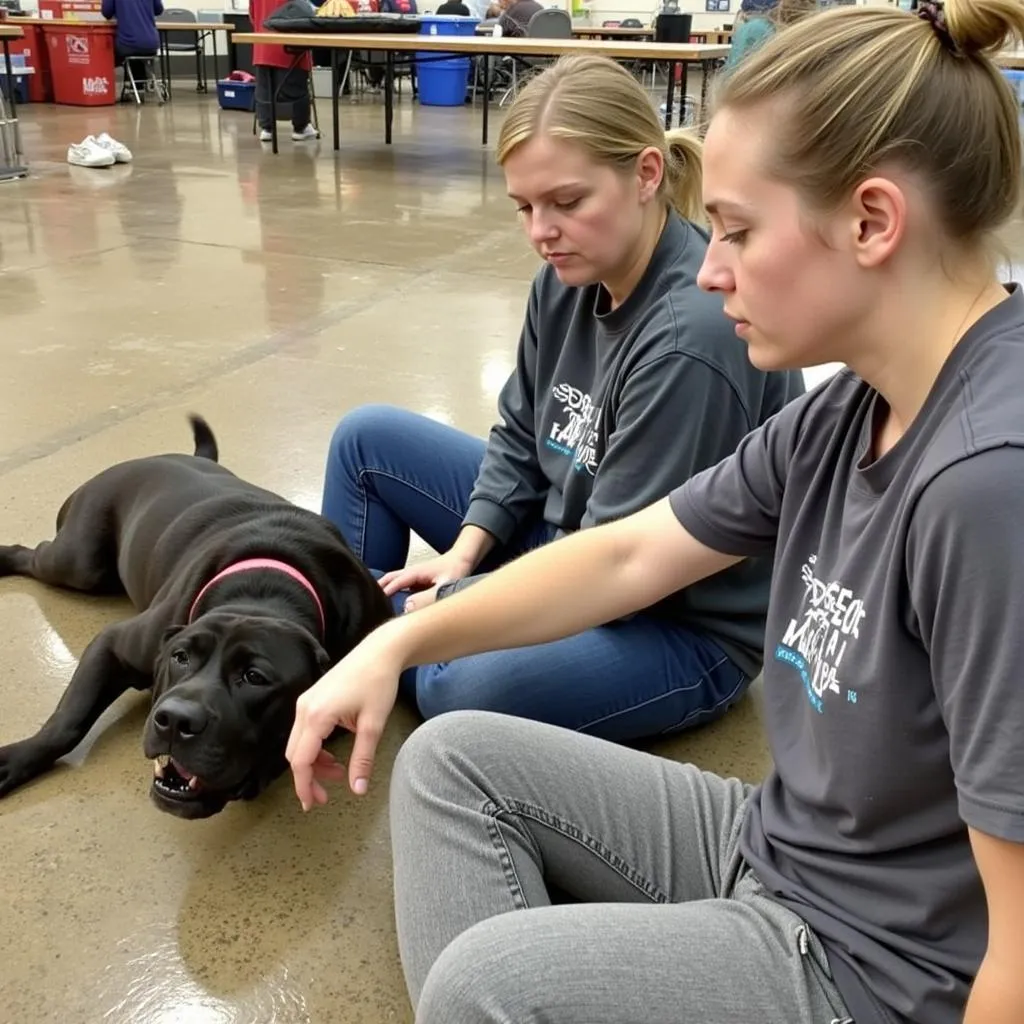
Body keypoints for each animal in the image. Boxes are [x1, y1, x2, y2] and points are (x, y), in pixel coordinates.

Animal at [0, 413, 391, 815]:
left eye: (255, 677)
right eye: (180, 657)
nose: (174, 720)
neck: (265, 590)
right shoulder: (113, 644)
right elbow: (69, 719)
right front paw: (17, 758)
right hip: (79, 560)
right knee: (34, 554)